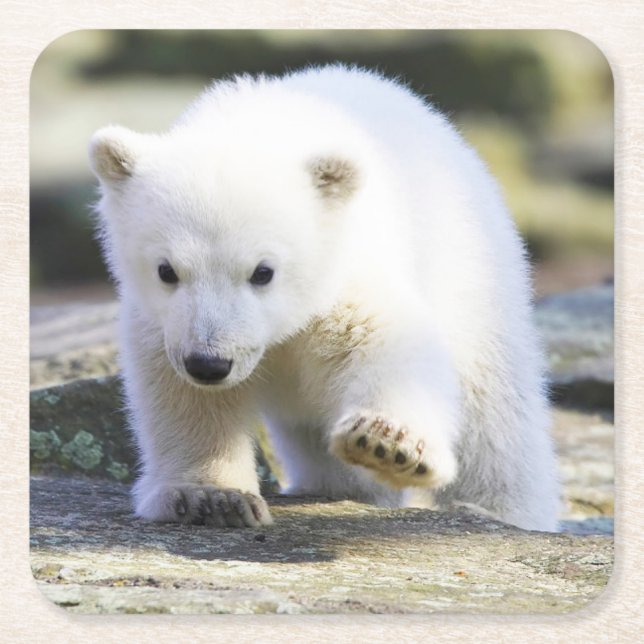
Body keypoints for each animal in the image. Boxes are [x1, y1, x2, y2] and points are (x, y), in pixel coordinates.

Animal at [89, 65, 560, 532]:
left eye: (263, 271)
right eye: (167, 270)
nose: (209, 364)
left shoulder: (344, 271)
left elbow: (386, 339)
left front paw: (387, 443)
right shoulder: (163, 323)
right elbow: (183, 396)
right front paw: (212, 497)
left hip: (471, 269)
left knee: (493, 409)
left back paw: (498, 509)